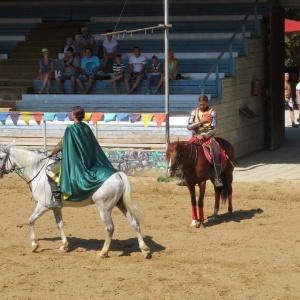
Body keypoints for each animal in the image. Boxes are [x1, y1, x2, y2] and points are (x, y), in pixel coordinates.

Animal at [0, 142, 150, 258]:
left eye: (1, 157)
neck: (39, 171)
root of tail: (117, 174)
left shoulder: (43, 205)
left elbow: (30, 220)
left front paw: (34, 244)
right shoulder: (56, 207)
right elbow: (59, 225)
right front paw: (63, 246)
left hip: (104, 209)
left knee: (110, 228)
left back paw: (103, 252)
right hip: (121, 204)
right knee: (134, 223)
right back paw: (144, 250)